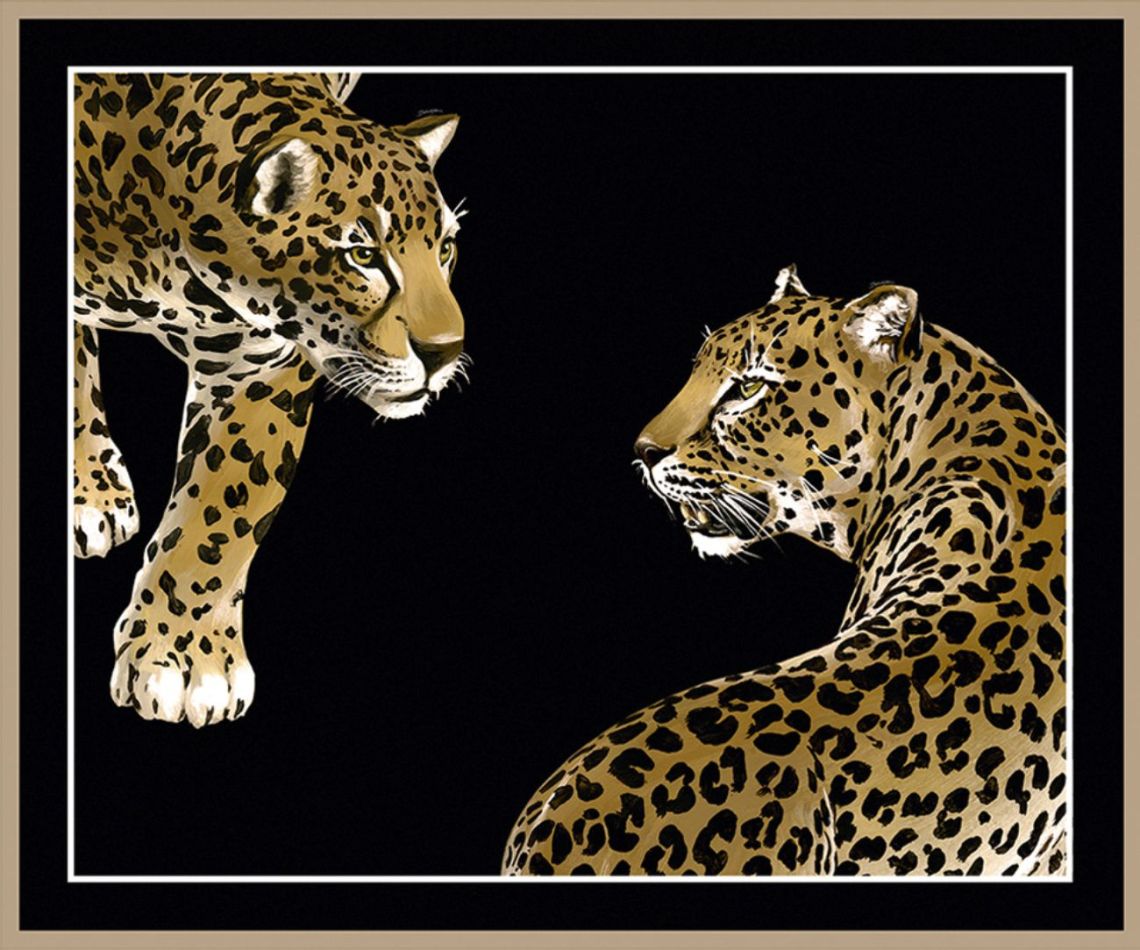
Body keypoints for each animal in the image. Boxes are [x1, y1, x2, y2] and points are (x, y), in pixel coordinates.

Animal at [73, 72, 467, 726]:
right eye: (363, 255)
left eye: (445, 249)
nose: (445, 352)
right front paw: (90, 490)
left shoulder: (263, 359)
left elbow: (223, 512)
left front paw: (184, 656)